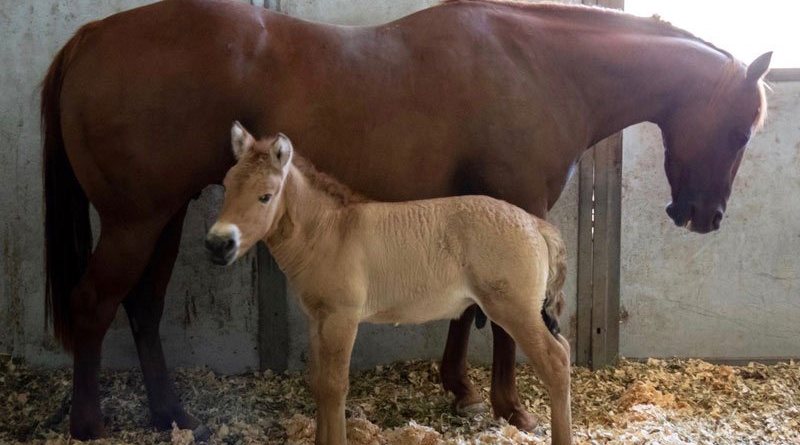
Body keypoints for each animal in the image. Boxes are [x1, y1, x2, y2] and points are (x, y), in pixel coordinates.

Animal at [203, 122, 572, 444]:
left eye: (265, 196)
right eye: (227, 185)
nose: (218, 244)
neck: (330, 232)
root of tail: (536, 225)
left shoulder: (342, 318)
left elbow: (335, 386)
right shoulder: (317, 319)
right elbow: (319, 384)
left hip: (515, 311)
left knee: (556, 362)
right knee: (564, 350)